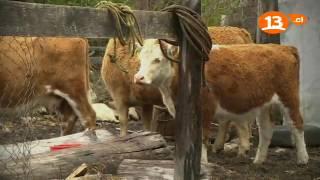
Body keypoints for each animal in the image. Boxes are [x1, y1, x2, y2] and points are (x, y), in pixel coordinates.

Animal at [101, 26, 254, 139]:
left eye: (157, 59)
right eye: (140, 57)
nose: (139, 77)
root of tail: (240, 31)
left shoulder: (120, 99)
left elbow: (123, 125)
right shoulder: (145, 103)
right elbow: (147, 125)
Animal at [134, 38, 308, 165]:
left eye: (157, 59)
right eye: (140, 58)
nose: (138, 77)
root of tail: (283, 48)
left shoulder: (205, 108)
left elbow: (203, 137)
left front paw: (202, 163)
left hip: (289, 97)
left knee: (297, 124)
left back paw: (303, 159)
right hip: (264, 104)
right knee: (266, 130)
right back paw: (258, 161)